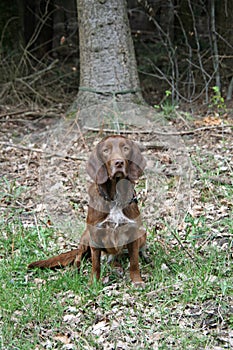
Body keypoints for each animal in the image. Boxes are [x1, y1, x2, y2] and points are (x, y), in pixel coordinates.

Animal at [28, 135, 147, 286]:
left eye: (125, 148)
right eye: (106, 150)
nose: (119, 162)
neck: (114, 198)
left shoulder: (133, 232)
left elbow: (134, 262)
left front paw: (137, 281)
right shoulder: (95, 234)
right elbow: (96, 264)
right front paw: (93, 283)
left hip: (142, 233)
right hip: (86, 236)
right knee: (79, 256)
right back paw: (76, 269)